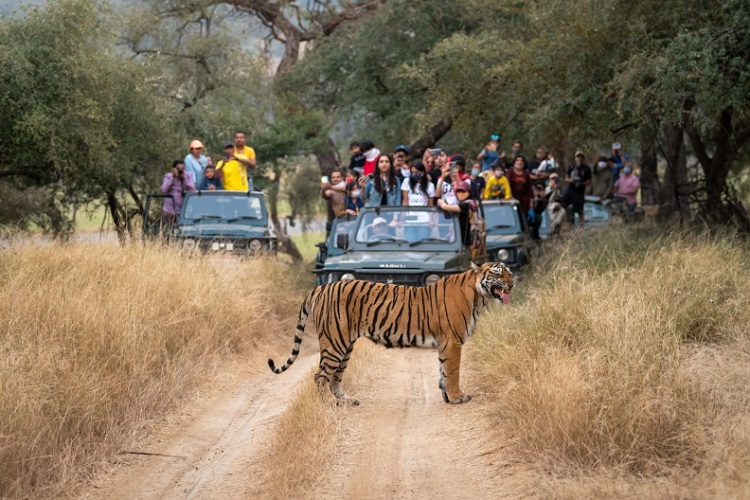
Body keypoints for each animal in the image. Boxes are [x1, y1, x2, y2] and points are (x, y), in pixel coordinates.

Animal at [268, 260, 516, 404]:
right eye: (498, 274)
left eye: (510, 273)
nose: (513, 284)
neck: (479, 296)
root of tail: (321, 287)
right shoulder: (453, 341)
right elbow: (453, 372)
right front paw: (458, 397)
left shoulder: (445, 344)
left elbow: (443, 372)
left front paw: (447, 396)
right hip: (334, 343)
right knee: (320, 376)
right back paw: (327, 406)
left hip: (344, 346)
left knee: (334, 378)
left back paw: (346, 401)